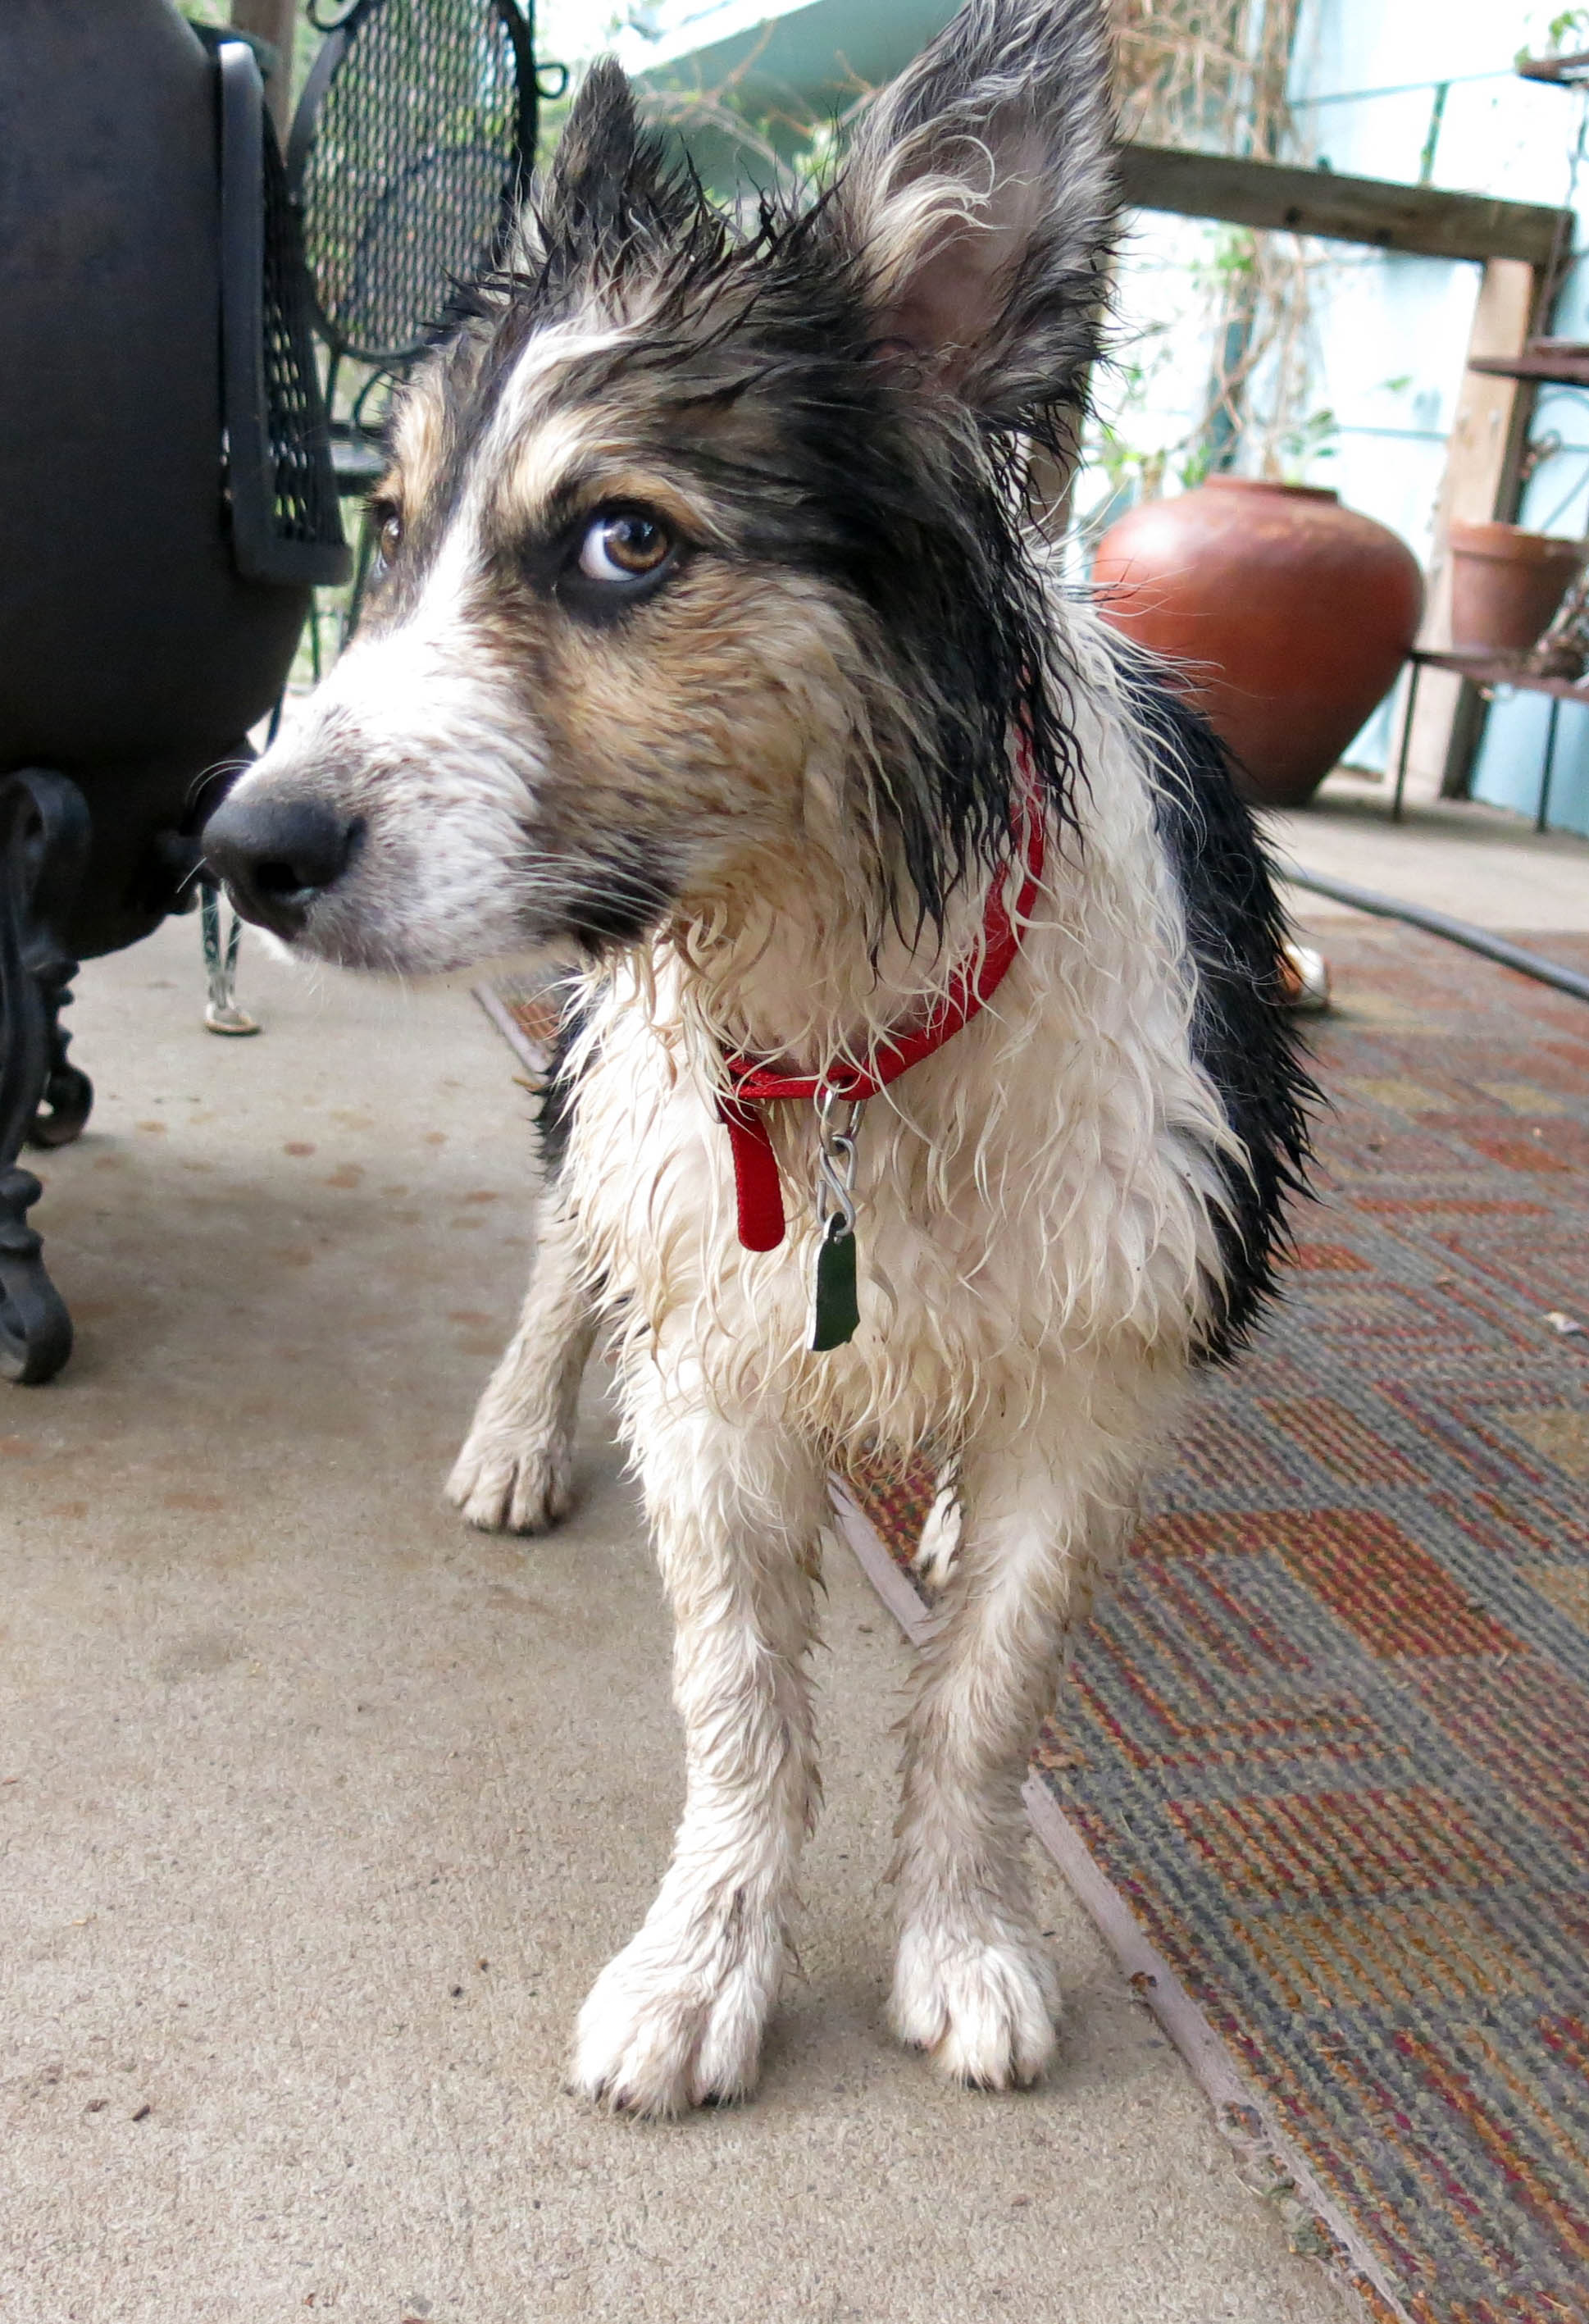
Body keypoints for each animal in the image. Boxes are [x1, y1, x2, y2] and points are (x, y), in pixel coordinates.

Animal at [204, 0, 1308, 2117]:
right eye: (386, 529)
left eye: (625, 539)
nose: (239, 850)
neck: (854, 1010)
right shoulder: (707, 1333)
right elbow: (738, 1704)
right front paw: (699, 1962)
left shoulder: (1108, 1348)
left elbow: (986, 1691)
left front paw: (963, 1938)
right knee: (567, 1258)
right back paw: (516, 1432)